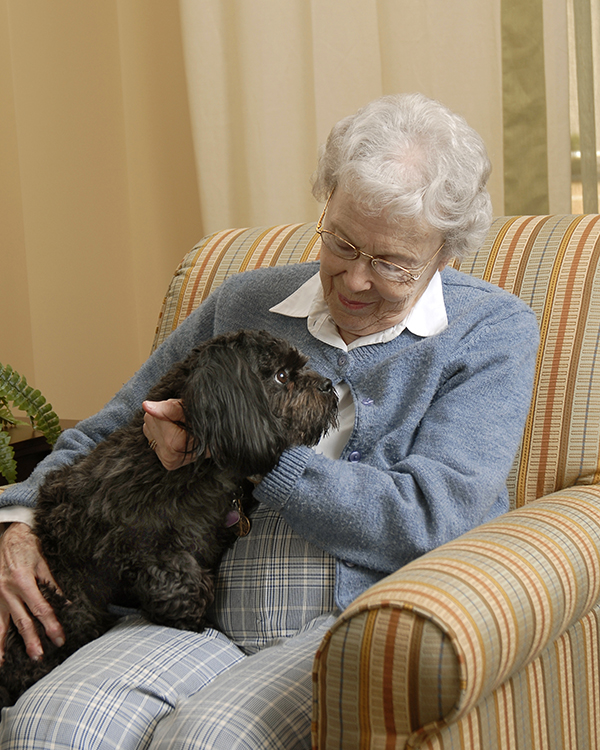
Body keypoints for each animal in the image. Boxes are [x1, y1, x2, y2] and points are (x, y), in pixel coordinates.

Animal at [0, 330, 338, 712]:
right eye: (282, 376)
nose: (328, 385)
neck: (195, 468)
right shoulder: (134, 543)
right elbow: (178, 576)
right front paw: (190, 617)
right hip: (66, 608)